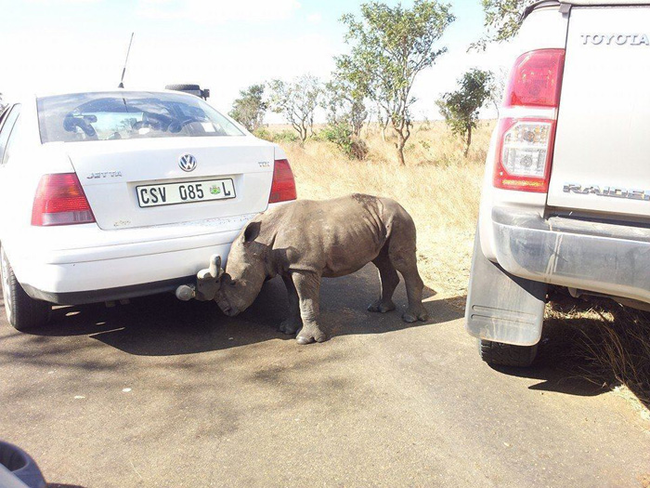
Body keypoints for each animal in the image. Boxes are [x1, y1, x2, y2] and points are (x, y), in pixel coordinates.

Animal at [215, 193, 428, 346]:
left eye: (234, 282)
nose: (226, 310)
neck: (263, 241)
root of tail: (403, 207)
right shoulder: (289, 267)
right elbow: (293, 298)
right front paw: (286, 329)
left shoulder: (305, 267)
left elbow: (306, 300)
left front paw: (305, 340)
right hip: (382, 224)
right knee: (381, 260)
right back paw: (379, 308)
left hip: (400, 220)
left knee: (401, 261)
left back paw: (411, 318)